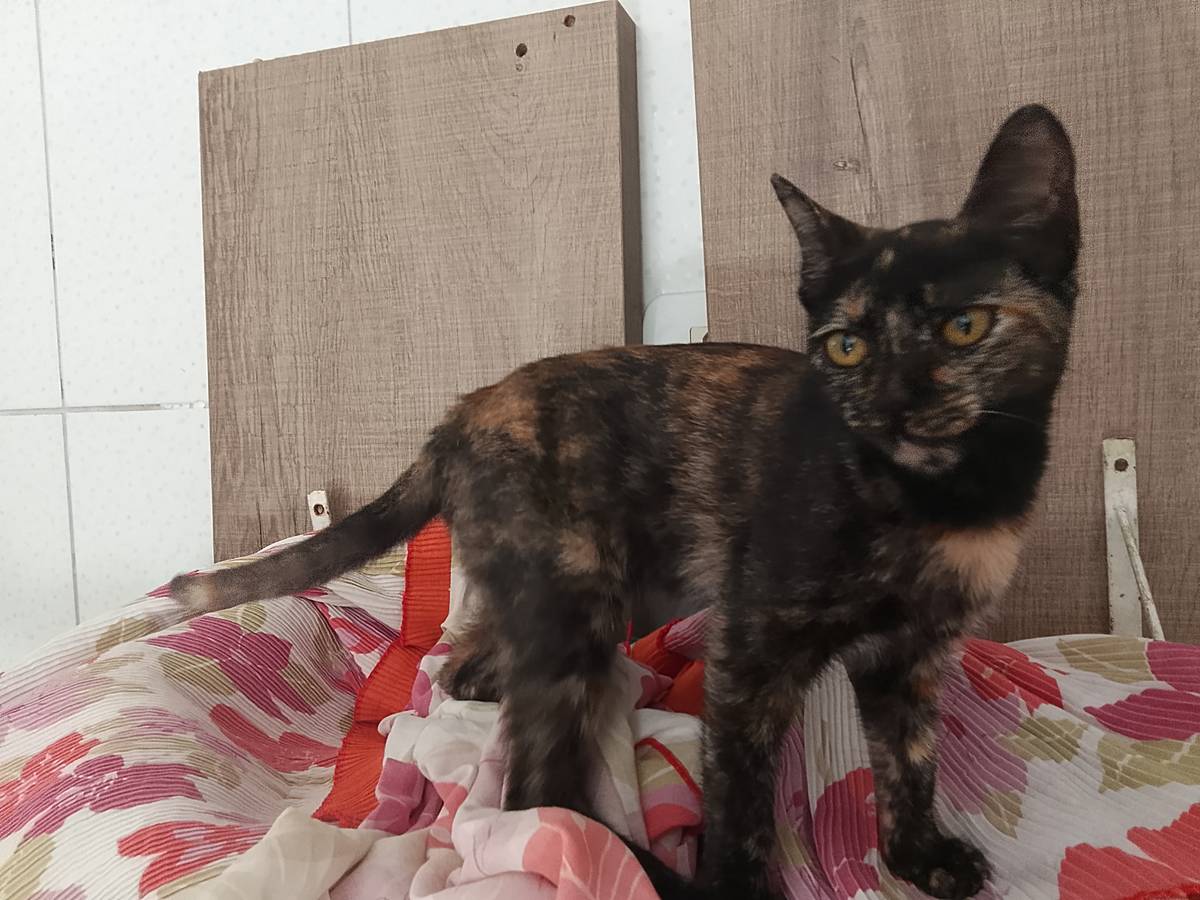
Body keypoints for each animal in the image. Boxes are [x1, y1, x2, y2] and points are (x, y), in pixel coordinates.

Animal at [172, 104, 1079, 900]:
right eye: (848, 347)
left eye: (964, 327)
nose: (890, 404)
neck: (937, 502)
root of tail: (459, 415)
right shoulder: (750, 650)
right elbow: (742, 799)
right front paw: (733, 889)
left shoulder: (912, 657)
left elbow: (910, 761)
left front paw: (918, 857)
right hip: (579, 595)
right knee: (530, 793)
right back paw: (631, 861)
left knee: (471, 676)